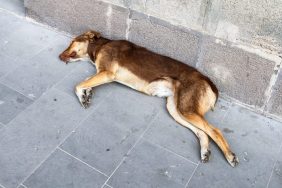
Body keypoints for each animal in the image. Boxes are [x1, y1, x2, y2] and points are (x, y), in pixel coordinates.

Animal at [59, 30, 238, 167]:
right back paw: (205, 151)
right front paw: (87, 93)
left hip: (186, 109)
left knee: (215, 131)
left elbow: (78, 85)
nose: (59, 56)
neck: (100, 45)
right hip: (175, 110)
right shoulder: (101, 74)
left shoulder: (107, 74)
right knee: (203, 133)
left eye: (72, 42)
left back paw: (230, 156)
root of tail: (209, 81)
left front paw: (82, 95)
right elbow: (86, 80)